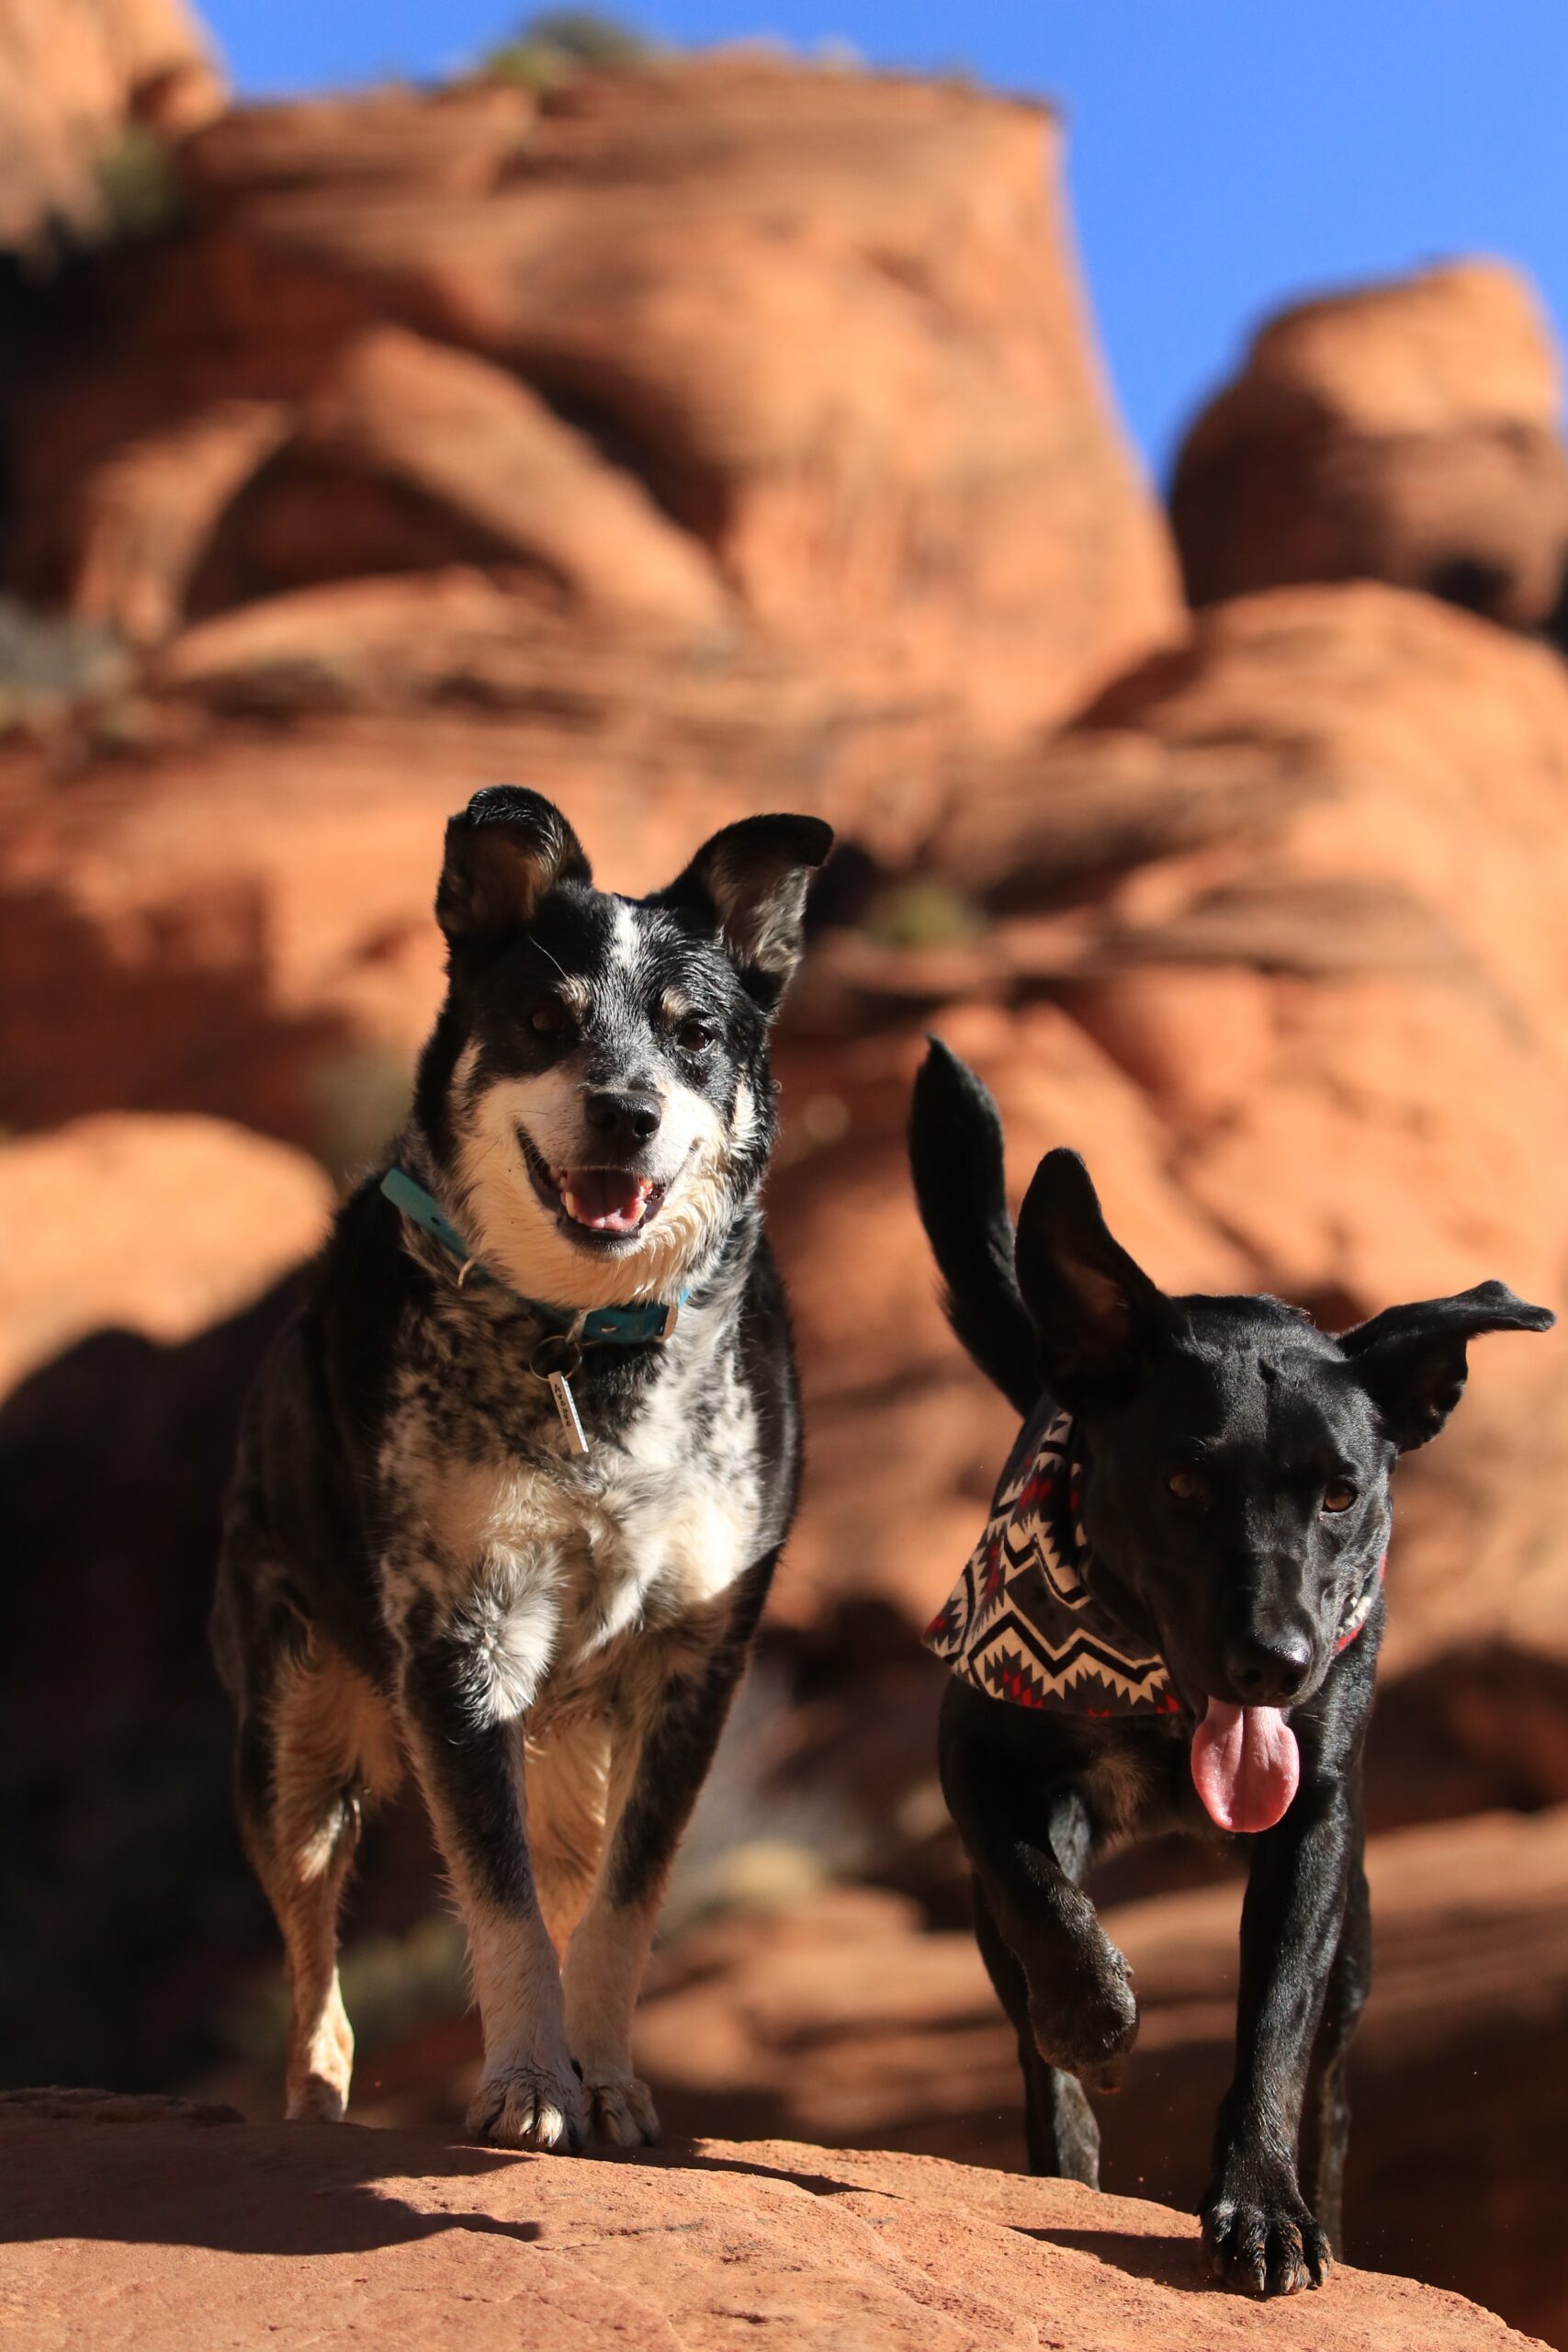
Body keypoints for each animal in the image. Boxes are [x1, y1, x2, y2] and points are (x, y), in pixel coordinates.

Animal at [216, 790, 841, 2154]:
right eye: (546, 1022)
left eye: (694, 1032)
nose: (625, 1111)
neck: (584, 1342)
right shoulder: (460, 1637)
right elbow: (497, 1904)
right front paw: (524, 2084)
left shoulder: (694, 1662)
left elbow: (621, 1904)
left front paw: (602, 2079)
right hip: (292, 1738)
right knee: (315, 1970)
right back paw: (315, 2108)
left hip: (566, 1752)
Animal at [907, 1039, 1561, 2286]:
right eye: (1183, 1482)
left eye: (1343, 1493)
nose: (1277, 1662)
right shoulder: (976, 1752)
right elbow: (1038, 1894)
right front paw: (1093, 2015)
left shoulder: (1314, 1830)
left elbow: (1274, 2028)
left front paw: (1262, 2205)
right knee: (1026, 1986)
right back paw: (1066, 2125)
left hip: (1362, 1934)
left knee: (1334, 2086)